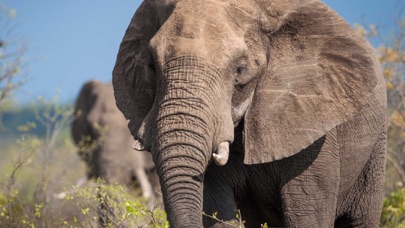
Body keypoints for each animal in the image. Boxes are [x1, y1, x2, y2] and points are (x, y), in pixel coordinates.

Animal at [110, 0, 386, 227]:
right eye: (152, 66)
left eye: (240, 70)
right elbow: (216, 210)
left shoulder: (314, 130)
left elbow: (307, 214)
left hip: (374, 152)